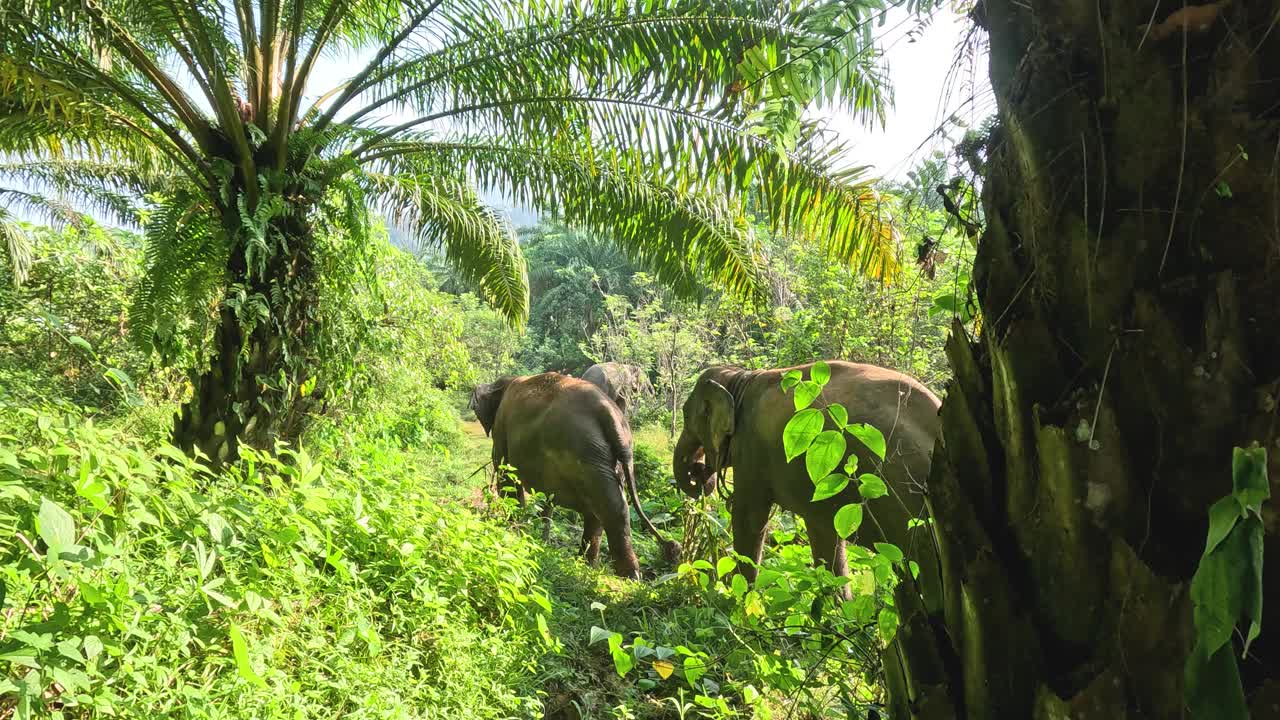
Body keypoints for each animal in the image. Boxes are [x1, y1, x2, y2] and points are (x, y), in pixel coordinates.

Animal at [468, 371, 680, 573]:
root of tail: (610, 413)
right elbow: (546, 495)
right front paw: (540, 540)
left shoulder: (501, 426)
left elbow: (507, 477)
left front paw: (514, 533)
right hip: (603, 458)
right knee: (604, 508)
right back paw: (590, 565)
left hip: (586, 451)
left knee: (607, 507)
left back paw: (627, 575)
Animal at [670, 358, 942, 604]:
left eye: (685, 414)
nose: (699, 471)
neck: (739, 377)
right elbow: (824, 532)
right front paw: (841, 610)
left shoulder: (750, 446)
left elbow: (749, 517)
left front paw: (737, 599)